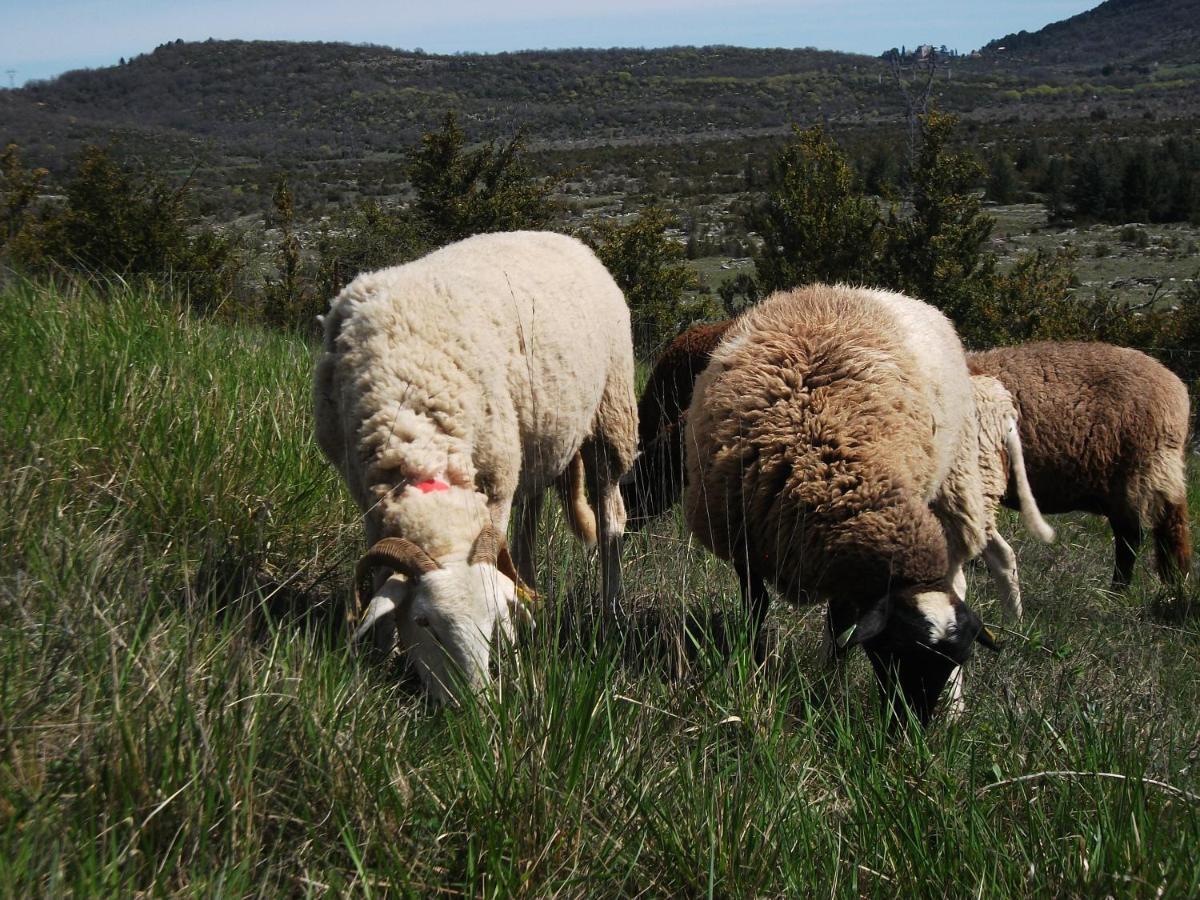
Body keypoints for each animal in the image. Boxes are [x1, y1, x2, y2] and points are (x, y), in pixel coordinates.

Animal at [314, 230, 643, 705]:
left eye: (491, 622)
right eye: (425, 623)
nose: (475, 704)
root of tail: (566, 238)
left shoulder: (496, 483)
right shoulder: (369, 497)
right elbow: (381, 578)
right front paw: (382, 653)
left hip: (610, 417)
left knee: (610, 517)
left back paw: (610, 608)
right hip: (538, 441)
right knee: (529, 523)